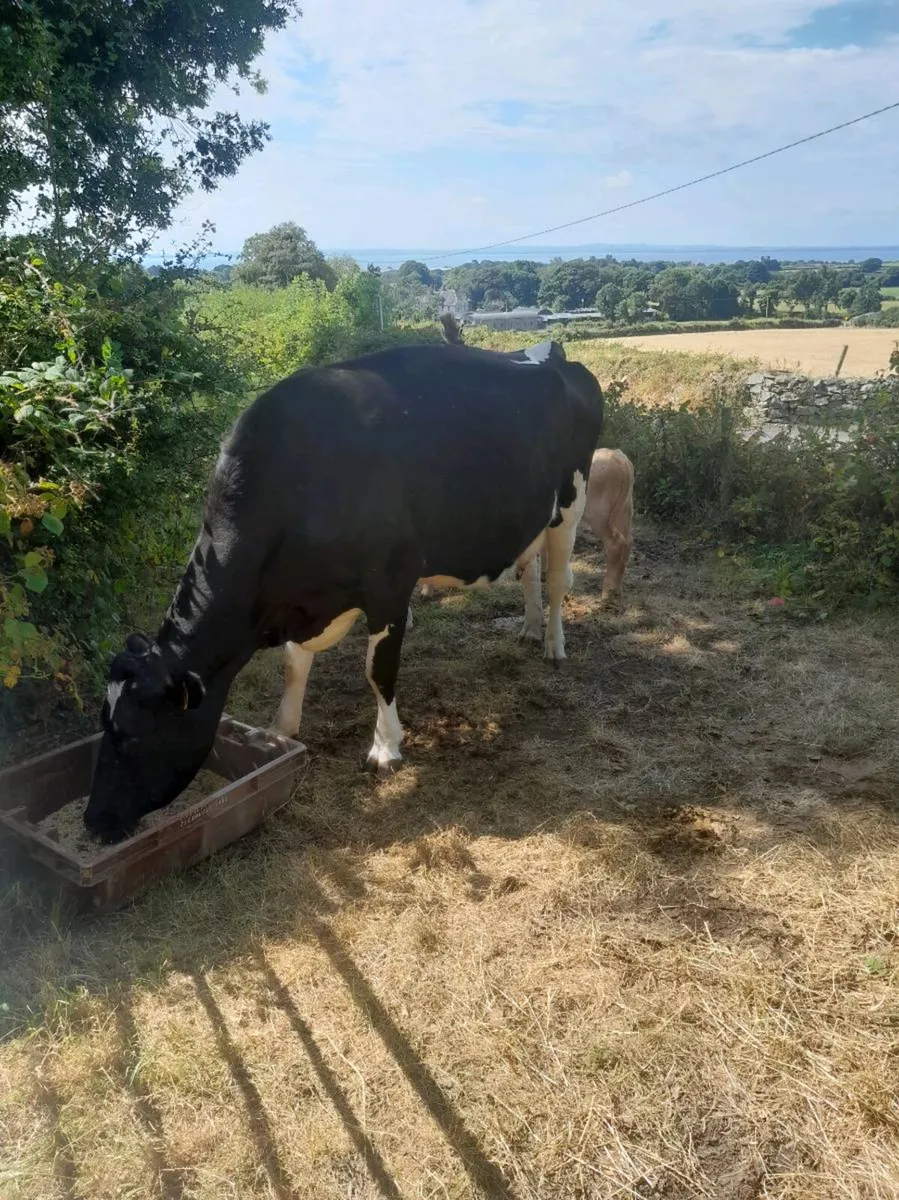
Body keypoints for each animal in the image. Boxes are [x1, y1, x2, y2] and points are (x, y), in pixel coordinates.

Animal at [84, 339, 604, 842]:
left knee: (557, 579)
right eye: (103, 724)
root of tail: (553, 355)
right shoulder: (301, 599)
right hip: (531, 516)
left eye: (131, 736)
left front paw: (385, 746)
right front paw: (279, 731)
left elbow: (379, 671)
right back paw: (530, 628)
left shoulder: (390, 585)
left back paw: (553, 644)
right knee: (530, 567)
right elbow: (294, 665)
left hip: (571, 503)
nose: (93, 821)